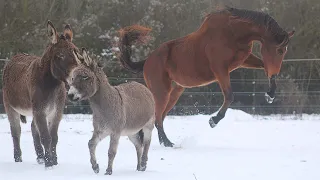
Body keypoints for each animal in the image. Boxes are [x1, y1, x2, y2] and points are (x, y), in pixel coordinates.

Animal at [2, 20, 81, 167]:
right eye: (60, 55)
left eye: (77, 54)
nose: (77, 76)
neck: (52, 84)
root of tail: (16, 55)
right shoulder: (40, 110)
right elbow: (46, 137)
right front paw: (49, 164)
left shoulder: (56, 111)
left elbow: (53, 137)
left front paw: (53, 161)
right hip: (10, 106)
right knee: (16, 132)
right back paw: (18, 159)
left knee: (33, 128)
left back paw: (40, 157)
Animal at [117, 7, 296, 148]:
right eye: (280, 50)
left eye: (284, 51)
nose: (275, 71)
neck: (234, 32)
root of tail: (147, 61)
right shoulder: (220, 69)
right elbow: (229, 96)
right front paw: (213, 121)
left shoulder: (244, 60)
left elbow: (264, 68)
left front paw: (270, 95)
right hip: (161, 91)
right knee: (158, 117)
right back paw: (167, 143)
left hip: (174, 92)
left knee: (159, 117)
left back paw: (160, 141)